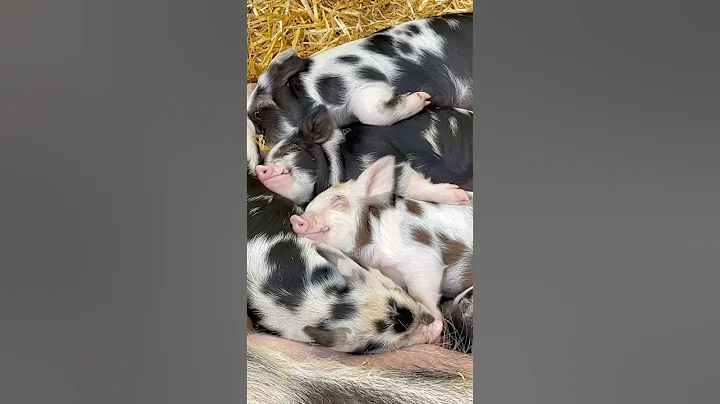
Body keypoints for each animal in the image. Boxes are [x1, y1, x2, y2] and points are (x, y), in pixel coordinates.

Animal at [289, 156, 473, 343]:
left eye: (338, 203)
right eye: (307, 208)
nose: (296, 219)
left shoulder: (422, 259)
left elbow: (422, 290)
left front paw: (432, 329)